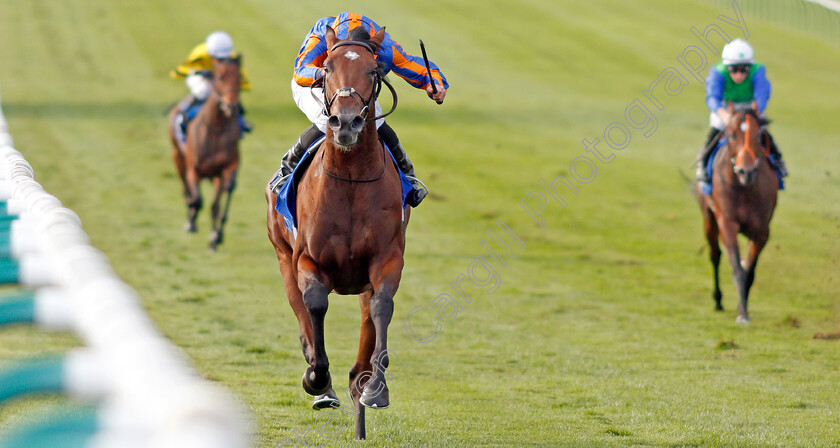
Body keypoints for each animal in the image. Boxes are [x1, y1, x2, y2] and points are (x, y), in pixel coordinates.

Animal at [166, 56, 241, 250]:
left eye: (239, 79)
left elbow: (220, 201)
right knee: (185, 187)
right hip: (177, 156)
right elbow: (197, 199)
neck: (216, 128)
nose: (231, 105)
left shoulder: (227, 167)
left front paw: (216, 236)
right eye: (220, 77)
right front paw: (191, 220)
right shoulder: (194, 168)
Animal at [264, 26, 406, 440]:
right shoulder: (307, 260)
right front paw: (317, 379)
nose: (345, 124)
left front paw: (375, 387)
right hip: (282, 254)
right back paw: (322, 385)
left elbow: (382, 306)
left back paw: (360, 389)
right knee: (300, 313)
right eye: (326, 67)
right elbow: (314, 305)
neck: (351, 178)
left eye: (374, 70)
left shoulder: (386, 259)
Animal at [700, 102, 776, 322]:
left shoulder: (762, 231)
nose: (746, 171)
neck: (745, 189)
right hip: (709, 218)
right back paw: (718, 300)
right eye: (732, 134)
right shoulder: (727, 223)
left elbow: (749, 271)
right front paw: (742, 313)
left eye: (758, 135)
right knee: (715, 255)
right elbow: (737, 268)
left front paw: (743, 308)